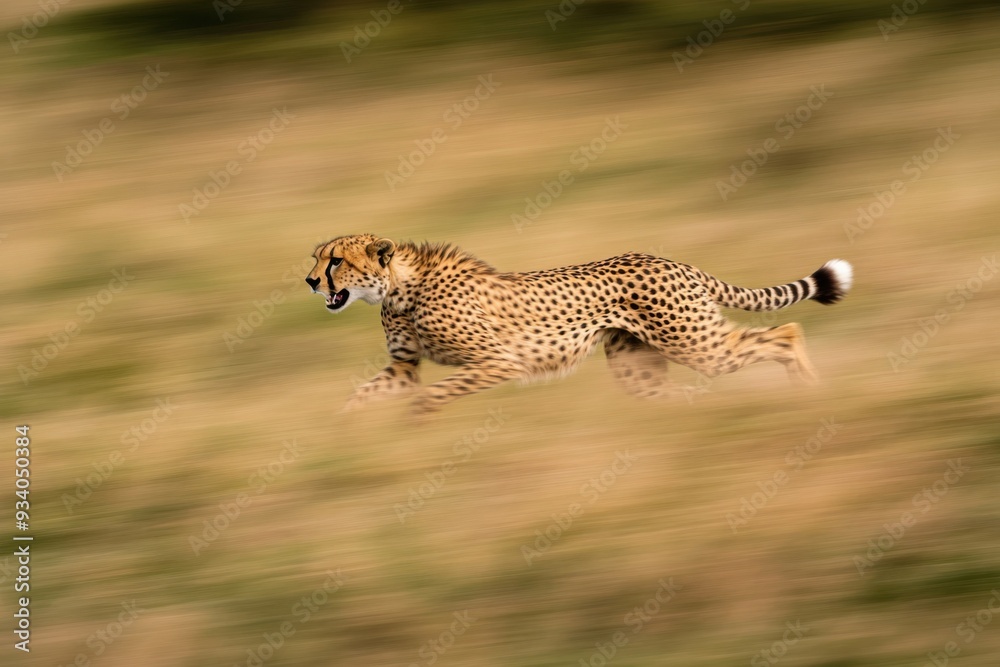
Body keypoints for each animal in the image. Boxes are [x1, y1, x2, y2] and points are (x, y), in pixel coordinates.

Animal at [305, 234, 852, 415]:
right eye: (316, 258)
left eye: (335, 261)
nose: (310, 281)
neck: (398, 287)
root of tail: (674, 261)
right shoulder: (404, 367)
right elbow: (360, 397)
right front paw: (342, 433)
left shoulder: (499, 361)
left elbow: (432, 394)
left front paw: (415, 419)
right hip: (639, 370)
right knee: (677, 397)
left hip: (698, 345)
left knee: (786, 333)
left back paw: (810, 391)